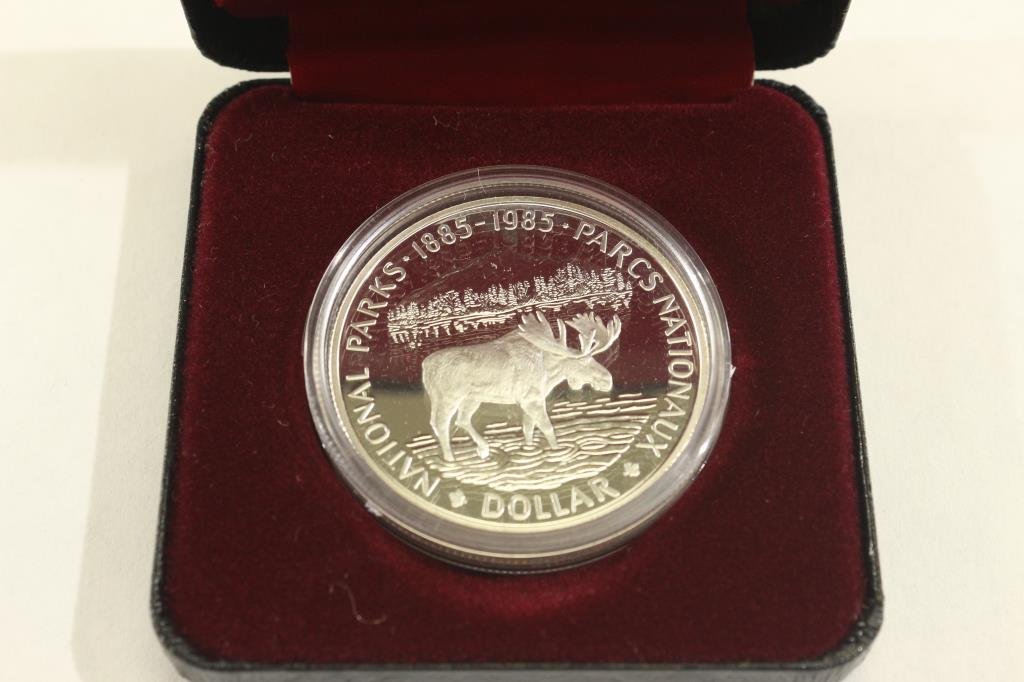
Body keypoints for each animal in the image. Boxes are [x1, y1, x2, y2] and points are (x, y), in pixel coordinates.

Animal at [421, 311, 622, 462]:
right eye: (585, 360)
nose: (609, 379)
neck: (549, 371)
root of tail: (425, 367)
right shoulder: (531, 400)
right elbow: (548, 429)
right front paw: (559, 452)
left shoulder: (529, 400)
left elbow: (528, 430)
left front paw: (529, 452)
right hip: (449, 398)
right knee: (441, 424)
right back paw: (451, 460)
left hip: (472, 398)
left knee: (460, 420)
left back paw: (483, 449)